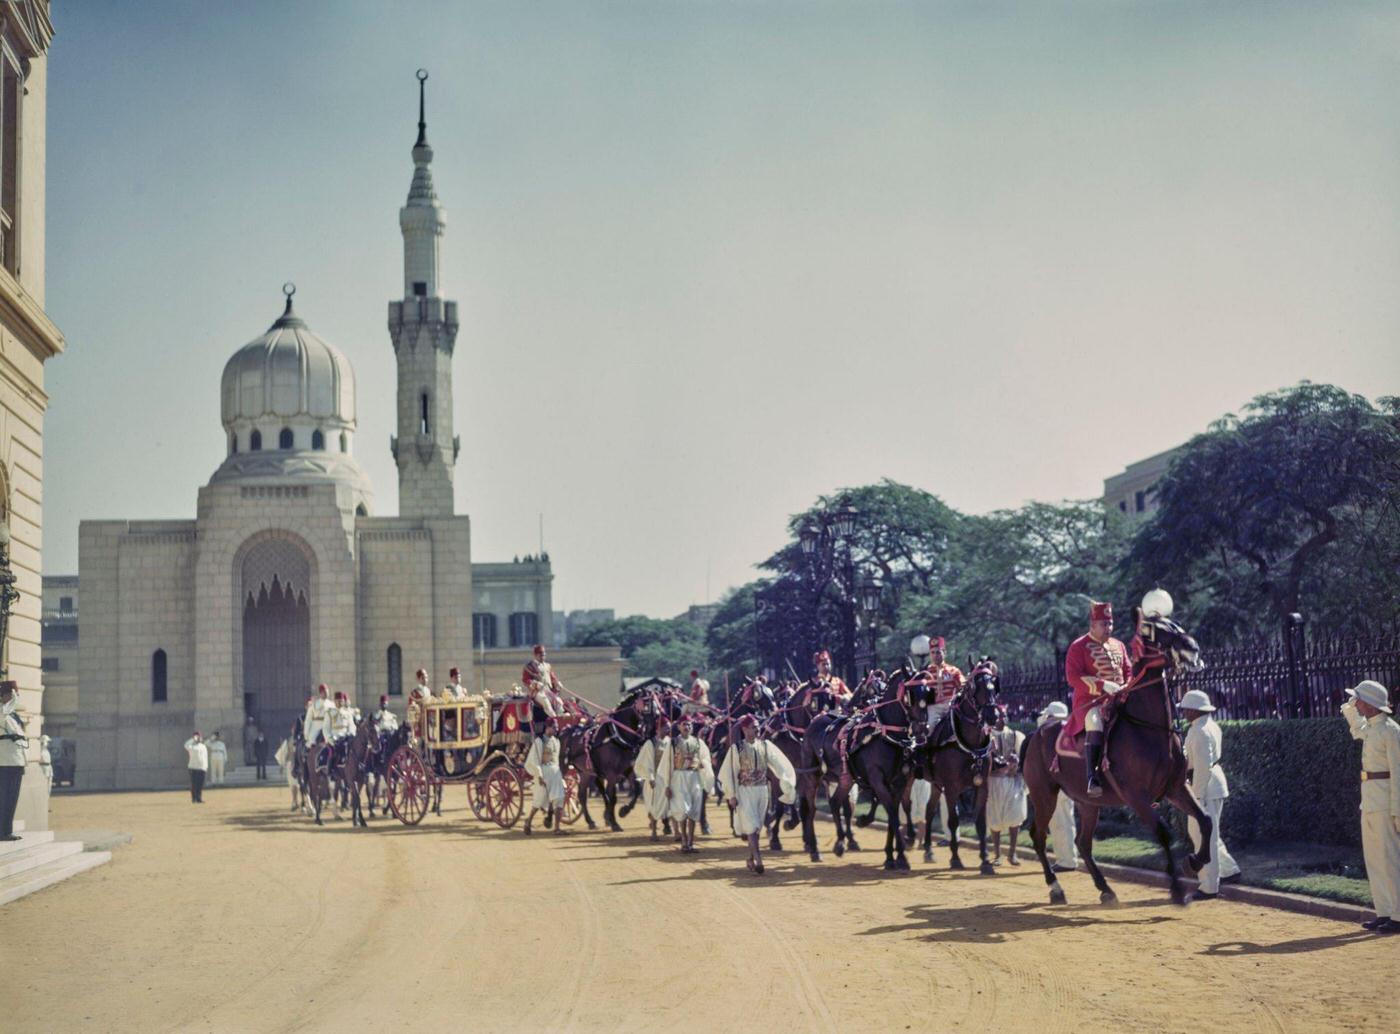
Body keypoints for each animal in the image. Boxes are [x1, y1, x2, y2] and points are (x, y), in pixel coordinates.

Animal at [800, 674, 929, 867]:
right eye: (909, 696)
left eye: (928, 694)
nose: (923, 729)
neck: (886, 734)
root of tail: (814, 721)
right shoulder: (877, 780)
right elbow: (891, 811)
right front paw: (899, 856)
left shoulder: (899, 782)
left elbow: (895, 809)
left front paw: (893, 855)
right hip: (812, 776)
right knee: (812, 809)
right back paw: (815, 848)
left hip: (845, 778)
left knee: (835, 802)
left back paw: (840, 843)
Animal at [912, 663, 1002, 873]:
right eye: (974, 687)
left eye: (993, 686)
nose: (992, 716)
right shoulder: (952, 788)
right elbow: (953, 821)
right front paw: (955, 858)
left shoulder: (982, 785)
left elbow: (981, 822)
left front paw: (985, 860)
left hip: (936, 785)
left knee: (929, 810)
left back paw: (928, 850)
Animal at [1019, 615, 1215, 906]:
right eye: (1155, 631)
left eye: (1173, 621)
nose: (1192, 647)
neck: (1149, 729)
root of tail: (1036, 733)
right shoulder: (1136, 796)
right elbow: (1163, 832)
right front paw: (1177, 889)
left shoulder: (1176, 788)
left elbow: (1205, 820)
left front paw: (1195, 861)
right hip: (1044, 795)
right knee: (1039, 836)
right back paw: (1056, 888)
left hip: (1088, 802)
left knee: (1083, 843)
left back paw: (1105, 888)